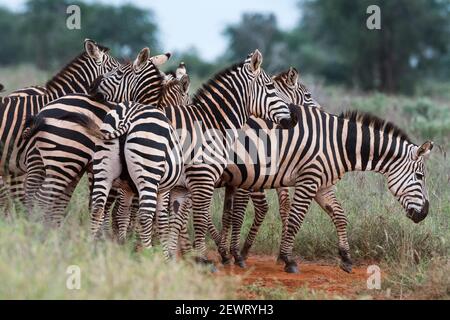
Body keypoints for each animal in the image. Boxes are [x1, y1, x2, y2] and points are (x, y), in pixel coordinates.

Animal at [19, 48, 171, 228]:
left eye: (119, 72)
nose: (92, 87)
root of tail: (44, 110)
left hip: (46, 159)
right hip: (63, 160)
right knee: (41, 199)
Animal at [89, 50, 298, 264]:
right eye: (271, 87)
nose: (294, 118)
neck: (212, 123)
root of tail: (128, 118)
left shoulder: (178, 187)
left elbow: (173, 220)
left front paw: (169, 256)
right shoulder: (202, 180)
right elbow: (200, 219)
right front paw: (201, 258)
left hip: (106, 174)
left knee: (99, 208)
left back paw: (95, 250)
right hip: (144, 176)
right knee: (140, 214)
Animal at [220, 106, 434, 272]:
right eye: (420, 176)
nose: (424, 213)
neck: (339, 144)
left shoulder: (322, 185)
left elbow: (340, 216)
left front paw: (346, 258)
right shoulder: (309, 180)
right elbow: (295, 219)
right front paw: (288, 259)